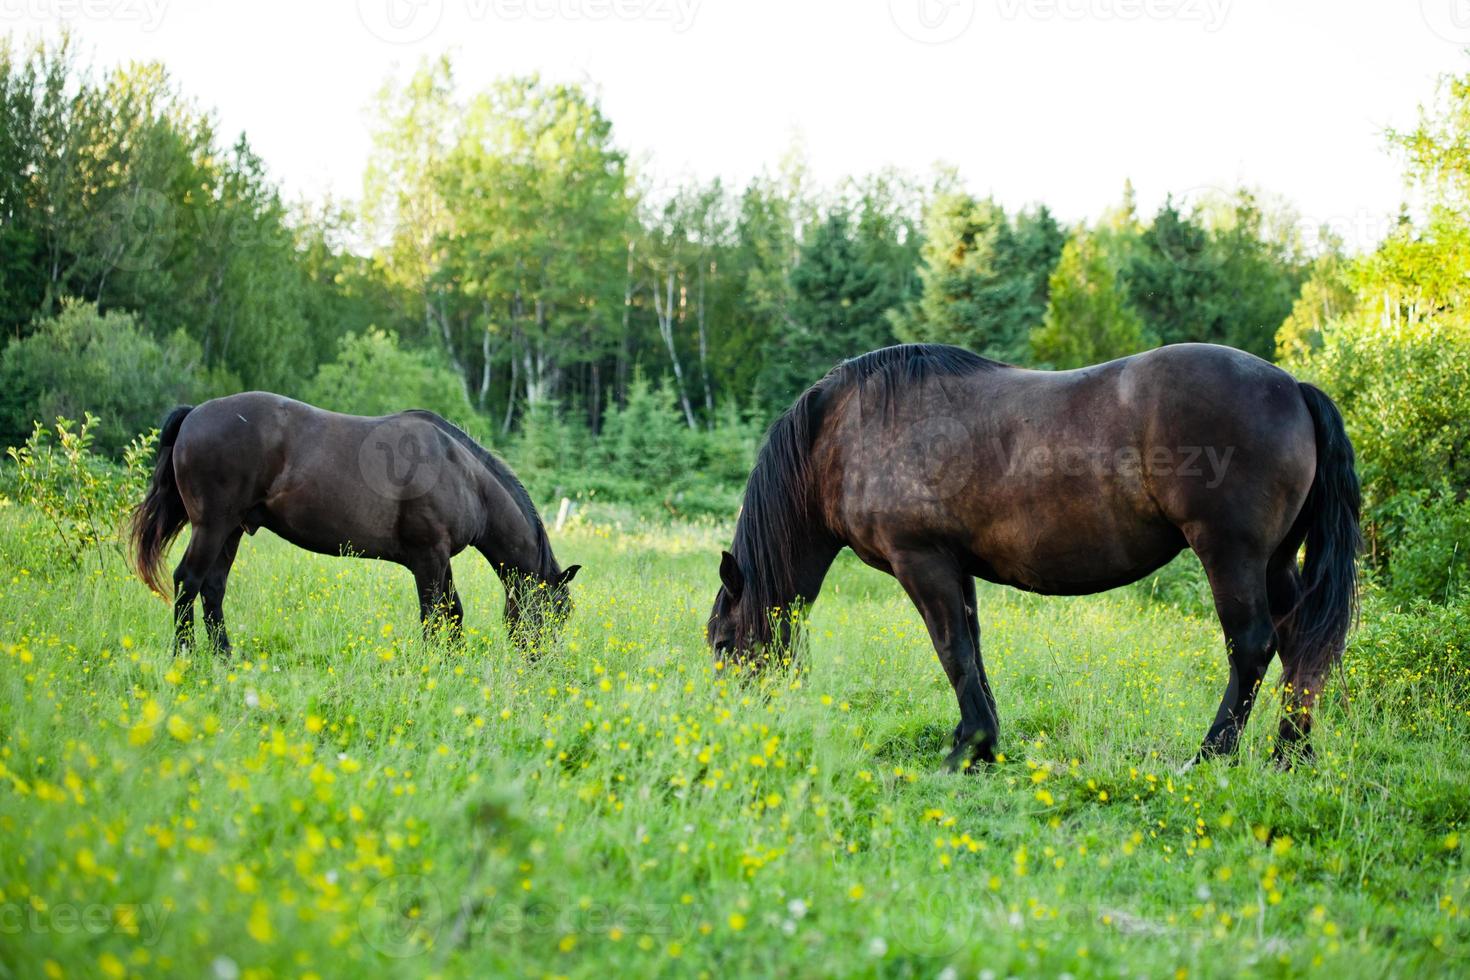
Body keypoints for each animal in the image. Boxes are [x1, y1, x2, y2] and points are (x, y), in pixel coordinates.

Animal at [129, 393, 579, 658]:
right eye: (555, 613)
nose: (544, 664)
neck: (462, 475)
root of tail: (195, 414)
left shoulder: (440, 558)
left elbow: (452, 613)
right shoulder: (428, 557)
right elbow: (435, 614)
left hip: (232, 530)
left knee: (213, 588)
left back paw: (224, 656)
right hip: (212, 526)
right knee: (188, 581)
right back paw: (184, 656)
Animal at [705, 345, 1358, 775]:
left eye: (722, 644)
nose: (732, 732)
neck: (843, 434)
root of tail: (1295, 388)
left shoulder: (921, 561)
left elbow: (952, 650)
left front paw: (966, 749)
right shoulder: (955, 566)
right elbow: (972, 650)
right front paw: (984, 746)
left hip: (1231, 555)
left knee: (1251, 646)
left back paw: (1210, 756)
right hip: (1276, 562)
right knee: (1300, 646)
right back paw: (1289, 756)